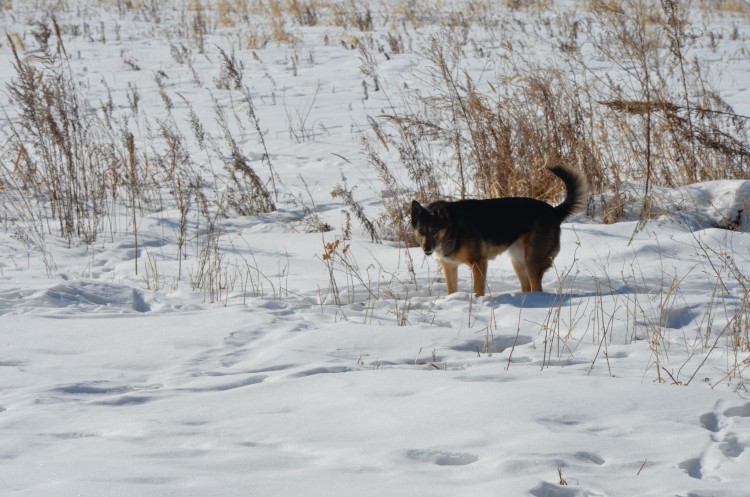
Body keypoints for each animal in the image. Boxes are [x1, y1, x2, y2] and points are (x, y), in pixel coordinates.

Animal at [412, 165, 588, 294]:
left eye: (434, 231)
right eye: (421, 231)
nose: (427, 249)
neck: (452, 229)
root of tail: (553, 211)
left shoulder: (478, 263)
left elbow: (478, 291)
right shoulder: (449, 267)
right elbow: (451, 291)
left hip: (532, 262)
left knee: (537, 287)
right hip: (518, 261)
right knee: (527, 287)